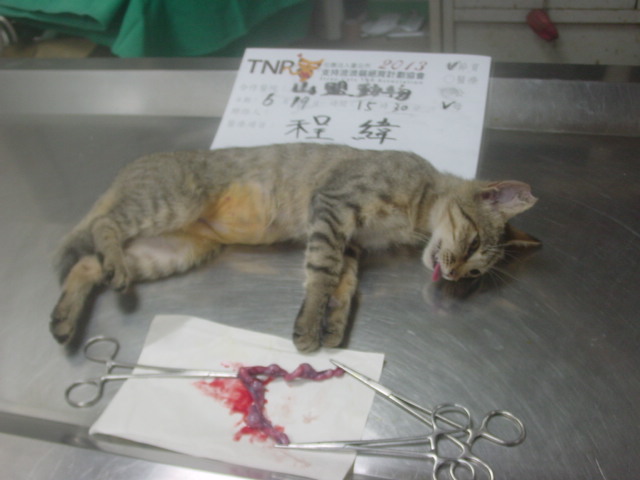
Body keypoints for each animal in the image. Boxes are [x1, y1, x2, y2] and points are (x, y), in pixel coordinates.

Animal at [50, 143, 539, 352]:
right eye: (472, 241)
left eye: (476, 273)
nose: (454, 274)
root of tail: (132, 167)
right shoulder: (333, 206)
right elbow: (322, 273)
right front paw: (308, 325)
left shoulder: (352, 242)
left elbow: (345, 286)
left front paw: (333, 325)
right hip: (167, 204)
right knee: (103, 228)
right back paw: (109, 267)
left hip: (172, 250)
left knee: (86, 265)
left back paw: (65, 318)